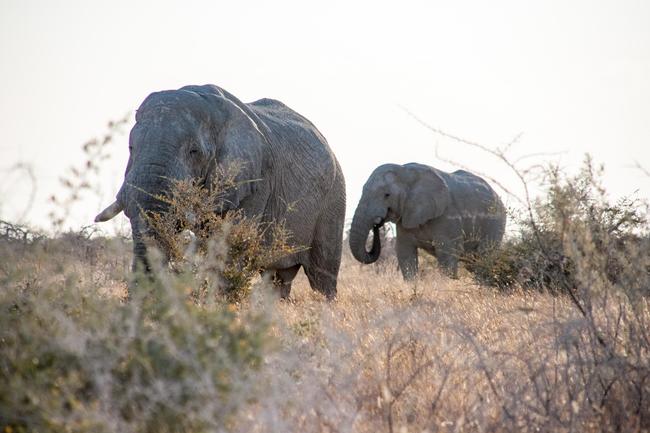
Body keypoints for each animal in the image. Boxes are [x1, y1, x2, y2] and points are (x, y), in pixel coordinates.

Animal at [95, 85, 344, 300]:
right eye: (130, 148)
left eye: (194, 151)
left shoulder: (256, 180)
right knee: (277, 278)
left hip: (334, 198)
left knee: (322, 275)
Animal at [350, 163, 506, 280]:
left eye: (387, 195)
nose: (377, 223)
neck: (405, 172)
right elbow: (405, 252)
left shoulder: (448, 215)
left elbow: (447, 251)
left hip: (496, 221)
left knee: (484, 256)